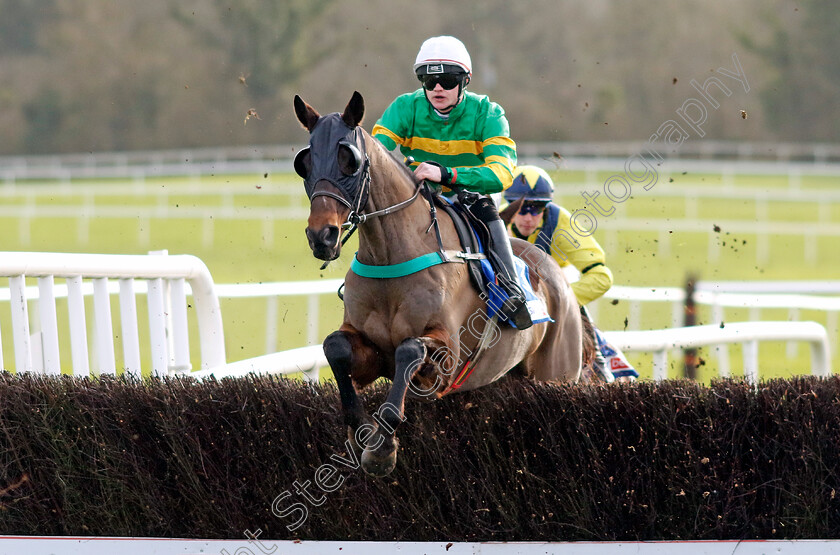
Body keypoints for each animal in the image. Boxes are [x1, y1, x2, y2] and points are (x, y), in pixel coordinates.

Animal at [292, 91, 580, 478]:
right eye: (305, 162)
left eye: (349, 160)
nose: (322, 235)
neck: (392, 257)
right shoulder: (368, 351)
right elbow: (335, 346)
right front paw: (360, 431)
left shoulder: (445, 359)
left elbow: (409, 349)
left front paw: (381, 449)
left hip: (558, 374)